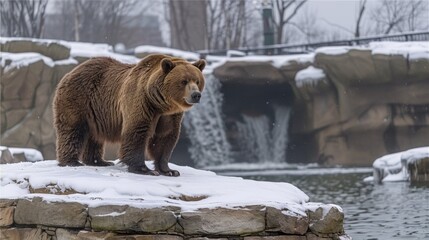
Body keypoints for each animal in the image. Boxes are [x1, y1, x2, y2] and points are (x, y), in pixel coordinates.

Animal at [53, 54, 206, 176]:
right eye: (184, 81)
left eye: (197, 80)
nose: (196, 95)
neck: (160, 103)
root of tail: (72, 71)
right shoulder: (141, 102)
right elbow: (137, 131)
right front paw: (144, 169)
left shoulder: (169, 115)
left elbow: (165, 138)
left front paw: (169, 170)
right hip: (78, 99)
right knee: (73, 131)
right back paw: (72, 161)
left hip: (96, 112)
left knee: (94, 137)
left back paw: (99, 161)